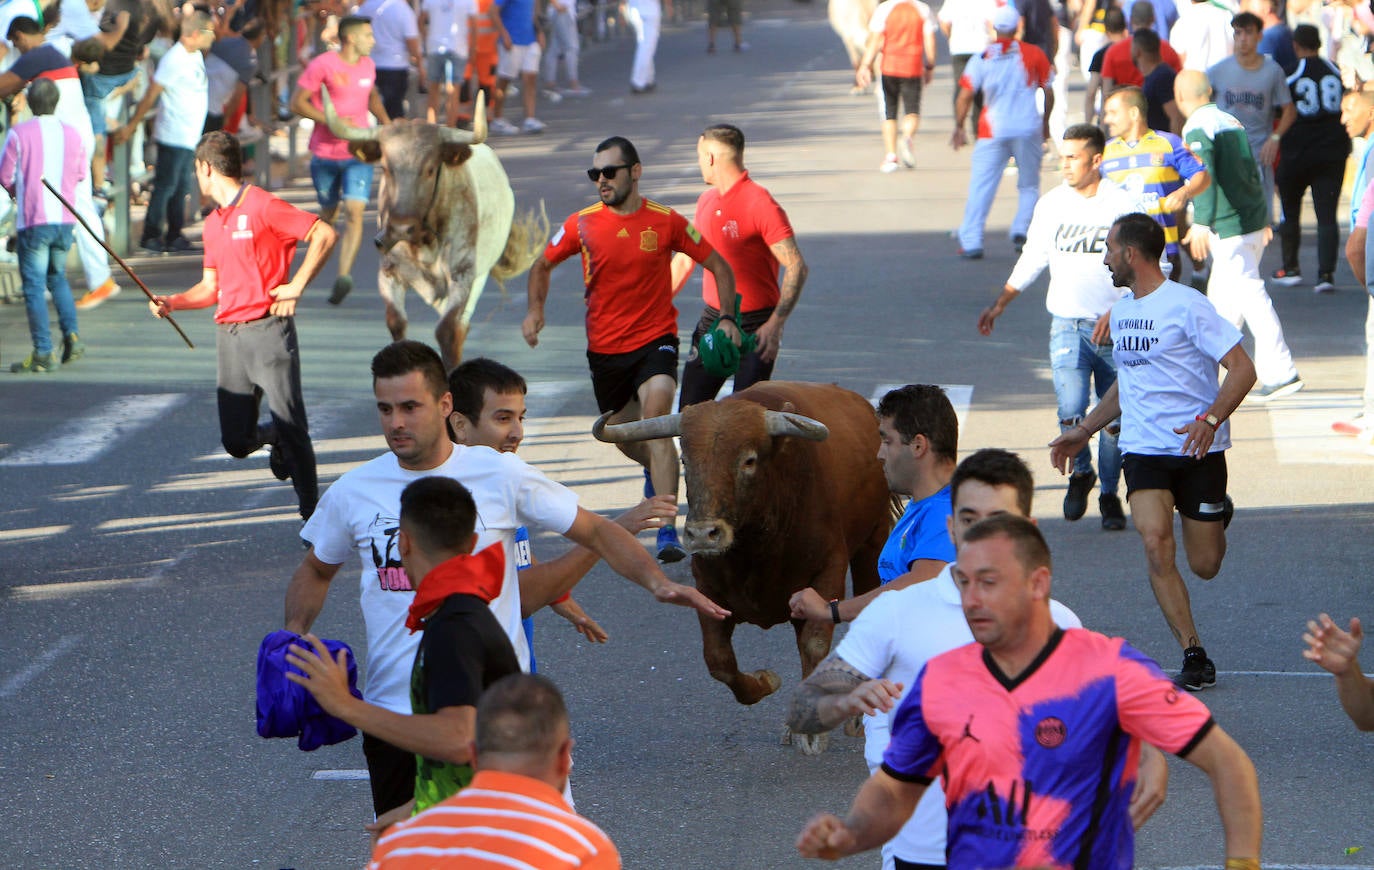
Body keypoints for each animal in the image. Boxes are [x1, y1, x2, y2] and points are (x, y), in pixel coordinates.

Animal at [320, 90, 541, 368]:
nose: (401, 228)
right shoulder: (389, 272)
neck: (423, 241)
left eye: (430, 169)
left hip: (478, 276)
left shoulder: (462, 274)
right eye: (386, 167)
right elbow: (396, 322)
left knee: (460, 327)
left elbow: (447, 331)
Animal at [590, 379, 890, 753]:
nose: (703, 534)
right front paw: (766, 681)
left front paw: (812, 729)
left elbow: (815, 643)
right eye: (686, 459)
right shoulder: (708, 589)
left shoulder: (828, 572)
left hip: (872, 543)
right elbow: (719, 661)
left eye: (748, 460)